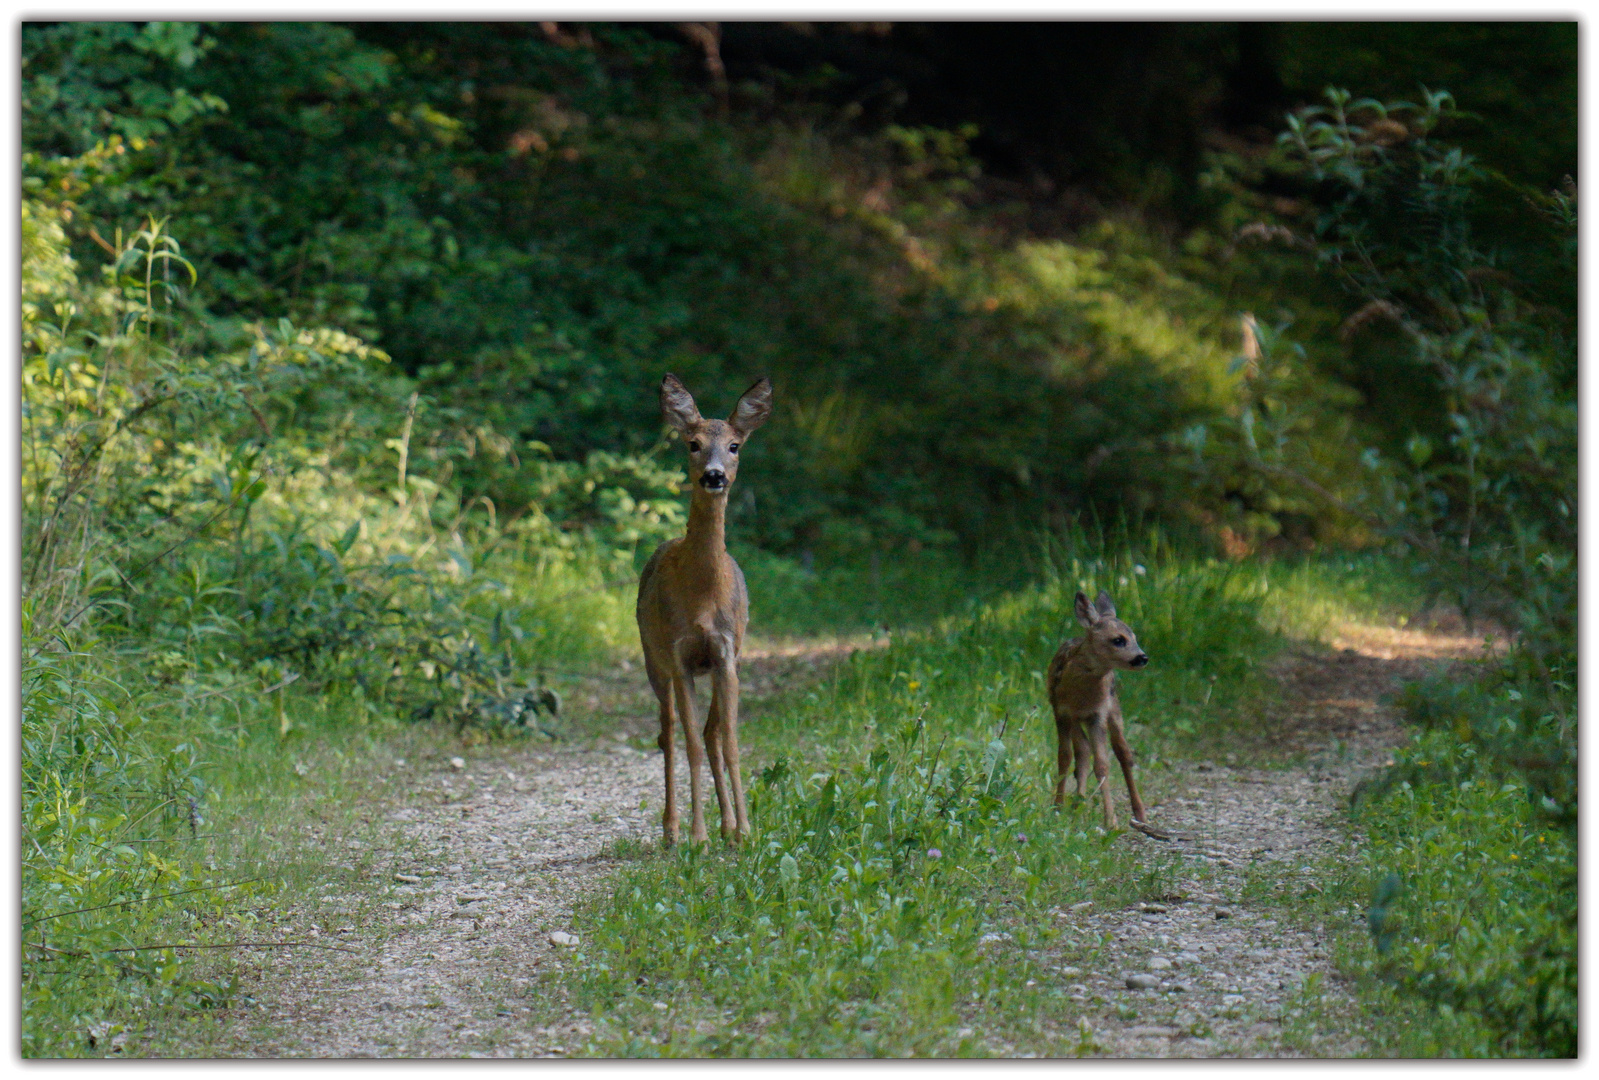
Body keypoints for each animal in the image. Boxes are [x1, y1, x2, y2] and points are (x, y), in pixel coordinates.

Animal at [633, 376, 770, 851]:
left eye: (734, 445)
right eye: (692, 444)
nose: (714, 475)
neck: (704, 597)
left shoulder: (726, 652)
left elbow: (728, 741)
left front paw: (744, 830)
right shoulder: (678, 654)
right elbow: (690, 742)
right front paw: (698, 835)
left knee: (710, 734)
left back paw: (727, 825)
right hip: (653, 660)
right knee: (669, 732)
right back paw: (672, 828)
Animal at [1042, 595, 1170, 838]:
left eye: (1134, 637)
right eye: (1118, 640)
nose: (1142, 657)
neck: (1080, 695)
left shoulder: (1097, 714)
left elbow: (1102, 764)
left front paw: (1111, 821)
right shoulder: (1061, 712)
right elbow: (1064, 757)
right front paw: (1057, 806)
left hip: (1114, 711)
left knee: (1124, 753)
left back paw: (1140, 814)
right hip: (1077, 721)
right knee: (1083, 751)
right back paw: (1078, 802)